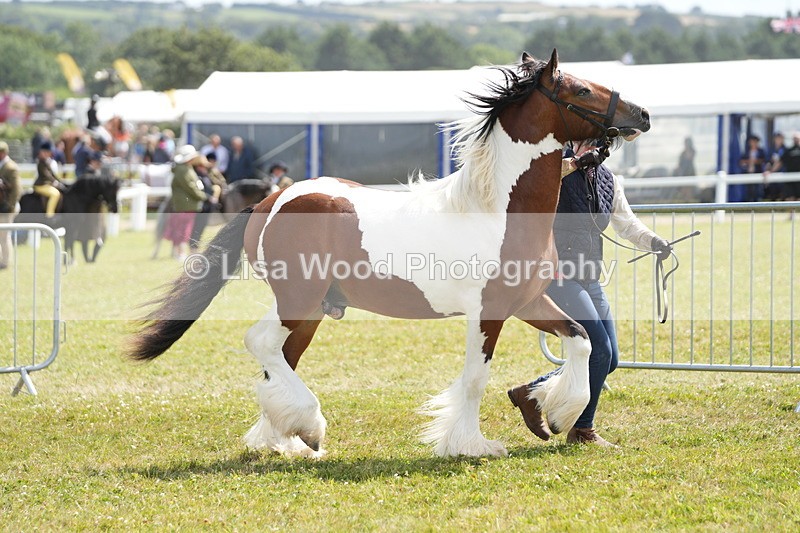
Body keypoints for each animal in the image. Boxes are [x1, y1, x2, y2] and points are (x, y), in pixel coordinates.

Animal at [128, 50, 650, 458]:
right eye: (580, 89)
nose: (642, 115)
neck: (497, 208)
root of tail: (270, 200)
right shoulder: (489, 311)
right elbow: (475, 379)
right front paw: (471, 444)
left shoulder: (526, 301)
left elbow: (581, 340)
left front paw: (552, 415)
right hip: (297, 297)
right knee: (260, 342)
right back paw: (309, 427)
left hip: (309, 310)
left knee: (280, 358)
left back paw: (285, 439)